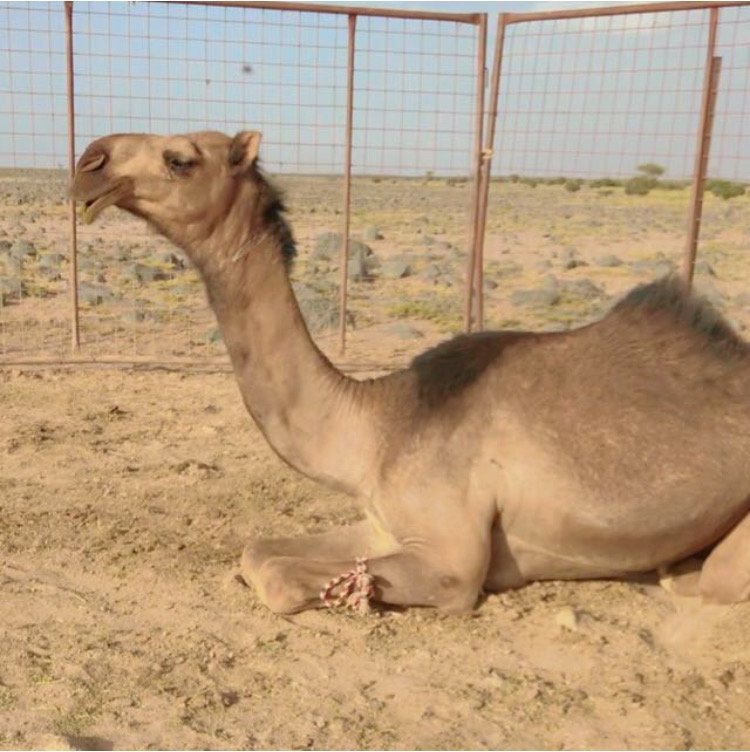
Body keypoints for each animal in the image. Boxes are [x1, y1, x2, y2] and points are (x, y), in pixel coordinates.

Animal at [71, 129, 750, 614]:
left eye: (179, 158)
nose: (89, 160)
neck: (377, 427)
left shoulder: (453, 561)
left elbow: (283, 580)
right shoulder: (381, 522)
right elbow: (258, 551)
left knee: (713, 584)